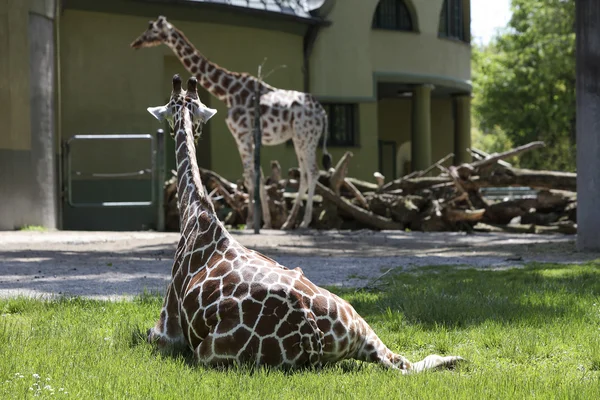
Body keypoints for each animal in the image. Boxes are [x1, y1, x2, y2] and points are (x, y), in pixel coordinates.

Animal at [131, 16, 332, 231]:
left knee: (312, 171)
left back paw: (304, 222)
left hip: (306, 137)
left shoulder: (241, 134)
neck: (228, 91)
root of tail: (323, 113)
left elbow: (250, 178)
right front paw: (265, 222)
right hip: (298, 138)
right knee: (304, 174)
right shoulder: (248, 138)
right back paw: (288, 223)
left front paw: (252, 222)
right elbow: (257, 177)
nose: (136, 43)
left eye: (152, 29)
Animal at [145, 73, 464, 374]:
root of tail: (312, 334)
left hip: (207, 354)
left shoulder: (167, 330)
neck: (196, 212)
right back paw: (455, 359)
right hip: (360, 326)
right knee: (403, 362)